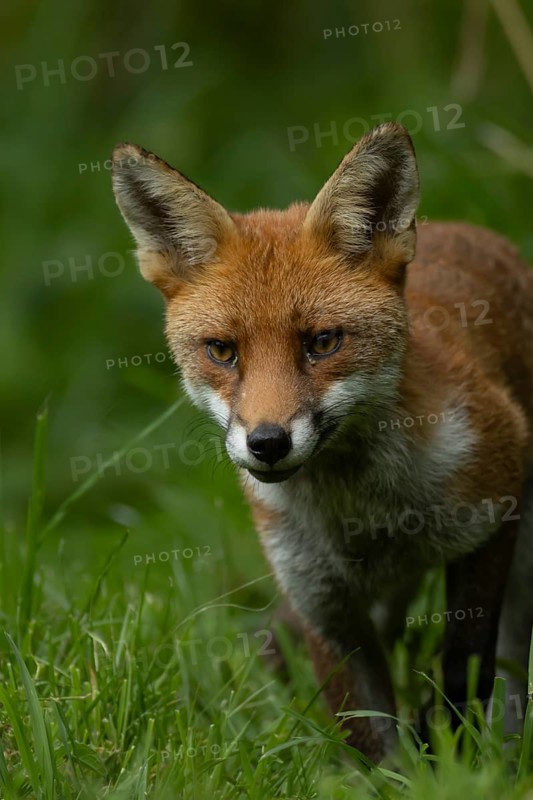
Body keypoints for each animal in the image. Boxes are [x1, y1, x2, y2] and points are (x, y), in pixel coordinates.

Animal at [112, 122, 533, 761]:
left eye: (323, 342)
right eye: (222, 351)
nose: (267, 442)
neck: (368, 514)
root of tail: (469, 229)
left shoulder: (492, 515)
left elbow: (465, 667)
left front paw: (458, 763)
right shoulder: (321, 599)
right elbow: (365, 730)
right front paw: (401, 773)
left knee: (511, 666)